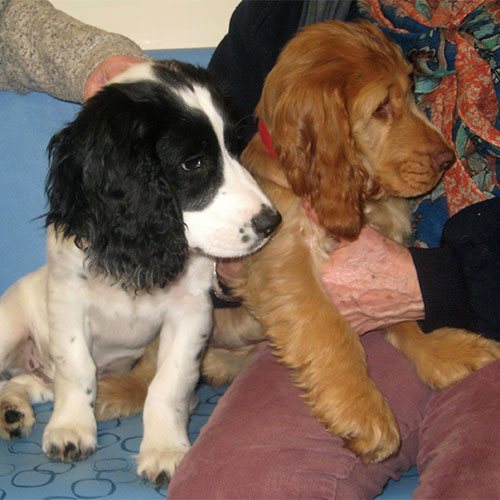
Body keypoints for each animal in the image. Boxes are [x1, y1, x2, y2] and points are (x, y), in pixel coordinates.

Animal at [0, 59, 282, 484]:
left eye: (234, 147)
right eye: (193, 162)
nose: (271, 223)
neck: (138, 251)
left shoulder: (190, 312)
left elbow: (169, 383)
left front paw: (164, 449)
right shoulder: (67, 300)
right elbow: (76, 367)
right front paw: (71, 428)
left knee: (21, 381)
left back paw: (13, 409)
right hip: (9, 327)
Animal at [94, 20, 500, 464]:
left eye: (412, 92)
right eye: (381, 107)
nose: (447, 160)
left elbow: (403, 309)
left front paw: (444, 352)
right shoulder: (286, 265)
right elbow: (331, 332)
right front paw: (365, 412)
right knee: (152, 364)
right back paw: (121, 388)